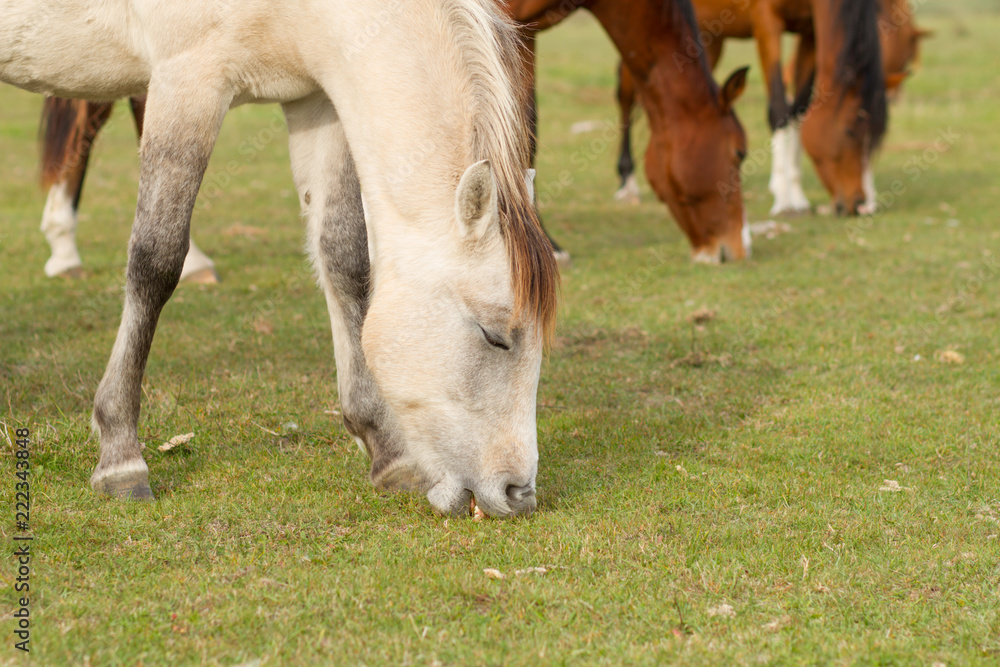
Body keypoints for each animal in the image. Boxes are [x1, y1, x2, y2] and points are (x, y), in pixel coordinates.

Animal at [615, 0, 891, 217]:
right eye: (849, 131)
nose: (860, 204)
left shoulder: (809, 31)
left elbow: (798, 111)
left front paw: (797, 196)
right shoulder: (766, 23)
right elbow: (779, 109)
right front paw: (784, 201)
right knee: (627, 97)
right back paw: (627, 182)